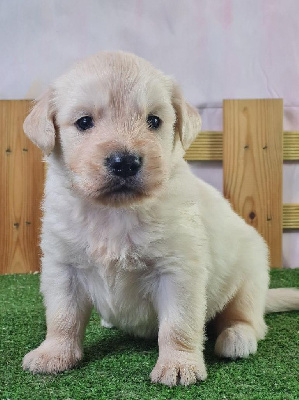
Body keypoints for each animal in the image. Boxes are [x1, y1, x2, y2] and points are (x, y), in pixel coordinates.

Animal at [22, 51, 299, 386]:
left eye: (154, 121)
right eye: (84, 122)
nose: (125, 162)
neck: (115, 212)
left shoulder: (178, 270)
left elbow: (178, 324)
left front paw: (179, 364)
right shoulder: (63, 268)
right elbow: (62, 316)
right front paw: (54, 353)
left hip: (250, 274)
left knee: (248, 319)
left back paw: (237, 338)